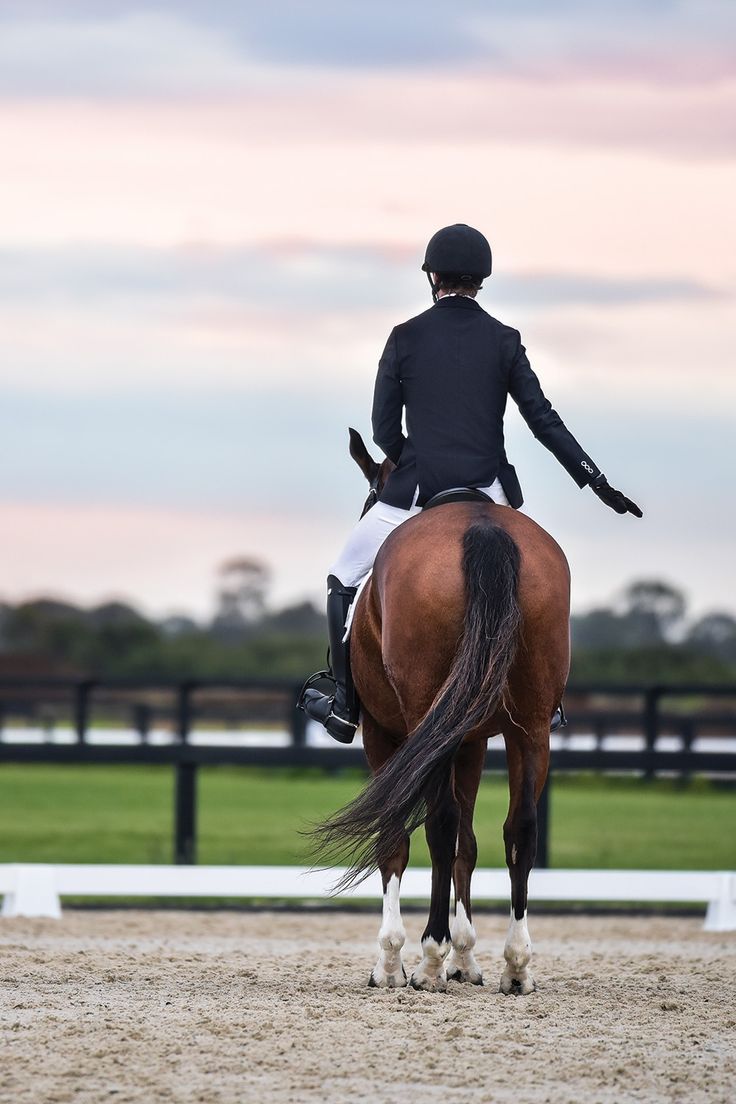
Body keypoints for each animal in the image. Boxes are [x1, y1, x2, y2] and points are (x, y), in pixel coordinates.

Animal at [313, 428, 573, 993]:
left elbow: (399, 837)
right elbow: (469, 845)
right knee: (519, 827)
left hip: (423, 724)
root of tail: (482, 527)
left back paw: (429, 959)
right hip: (529, 728)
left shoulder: (386, 734)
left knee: (439, 824)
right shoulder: (471, 740)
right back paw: (516, 966)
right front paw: (466, 958)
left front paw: (393, 962)